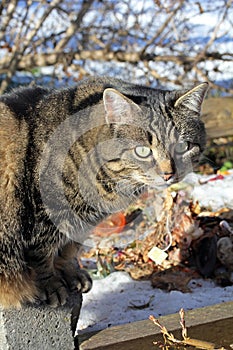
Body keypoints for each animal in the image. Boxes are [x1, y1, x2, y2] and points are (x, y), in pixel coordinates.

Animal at [0, 76, 208, 306]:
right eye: (143, 151)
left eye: (183, 146)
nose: (168, 174)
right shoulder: (44, 218)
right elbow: (41, 257)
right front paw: (51, 284)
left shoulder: (81, 223)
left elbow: (68, 249)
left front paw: (70, 272)